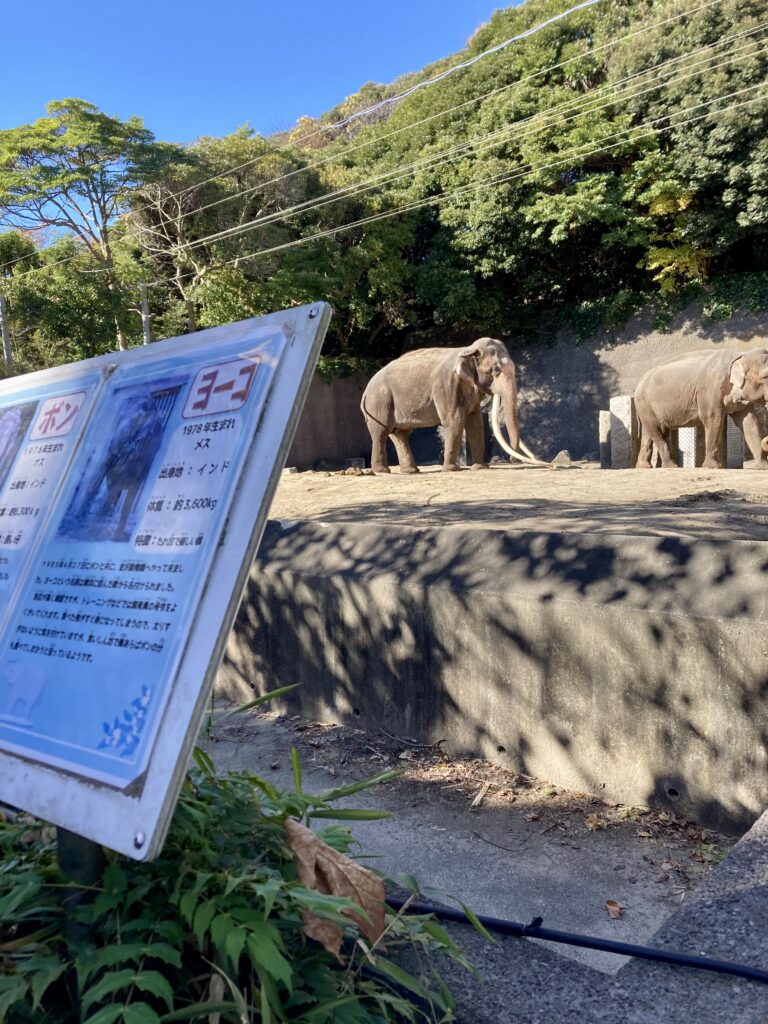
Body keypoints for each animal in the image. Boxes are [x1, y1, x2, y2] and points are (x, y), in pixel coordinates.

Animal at [360, 339, 540, 475]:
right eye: (495, 370)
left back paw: (411, 471)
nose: (512, 460)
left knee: (400, 434)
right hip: (380, 401)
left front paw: (480, 467)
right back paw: (383, 471)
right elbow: (454, 421)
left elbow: (475, 422)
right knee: (381, 431)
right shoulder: (446, 385)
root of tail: (366, 390)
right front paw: (452, 469)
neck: (468, 349)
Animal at [634, 348, 768, 468]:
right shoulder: (710, 389)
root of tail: (638, 383)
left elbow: (749, 422)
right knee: (656, 431)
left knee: (654, 432)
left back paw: (645, 466)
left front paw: (761, 467)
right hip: (645, 404)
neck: (740, 354)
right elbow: (712, 418)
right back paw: (671, 466)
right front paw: (712, 467)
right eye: (765, 377)